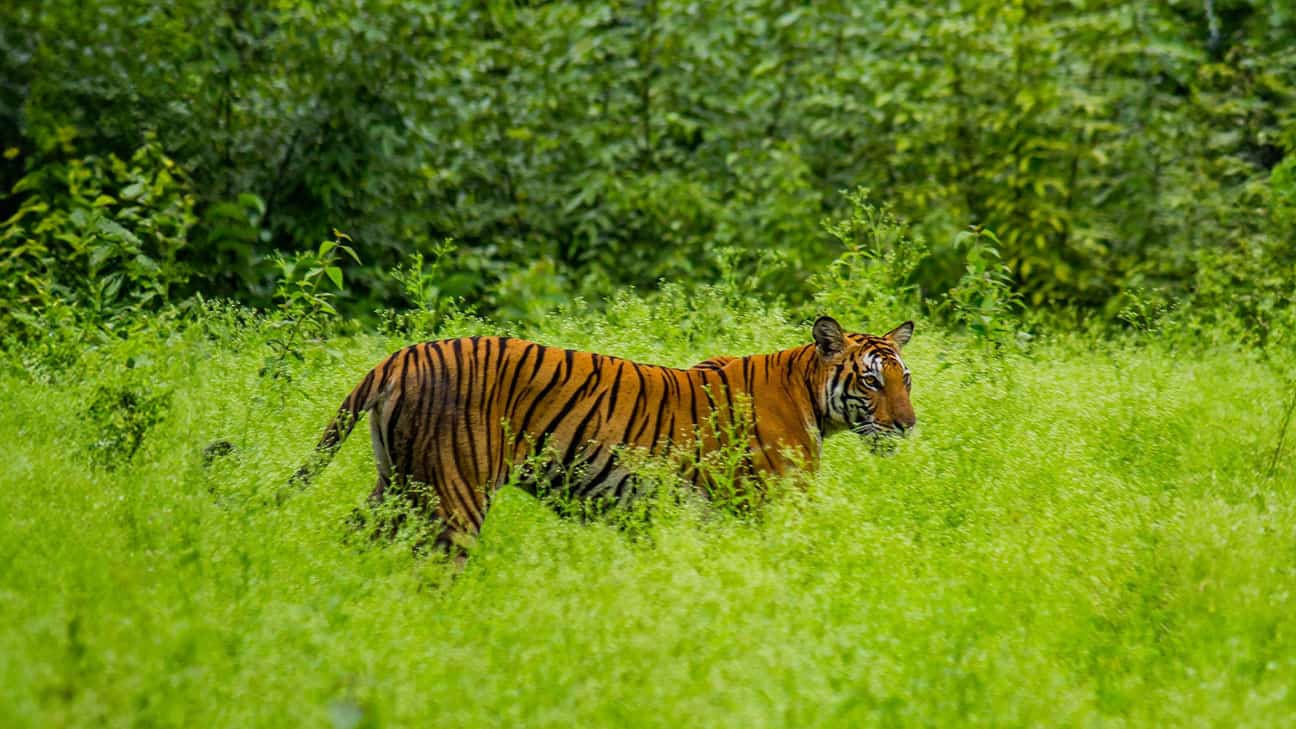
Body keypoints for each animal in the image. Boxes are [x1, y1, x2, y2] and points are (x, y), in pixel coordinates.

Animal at [291, 315, 922, 552]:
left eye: (906, 380)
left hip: (397, 484)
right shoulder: (774, 506)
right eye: (872, 381)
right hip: (452, 492)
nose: (908, 425)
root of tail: (400, 356)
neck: (812, 395)